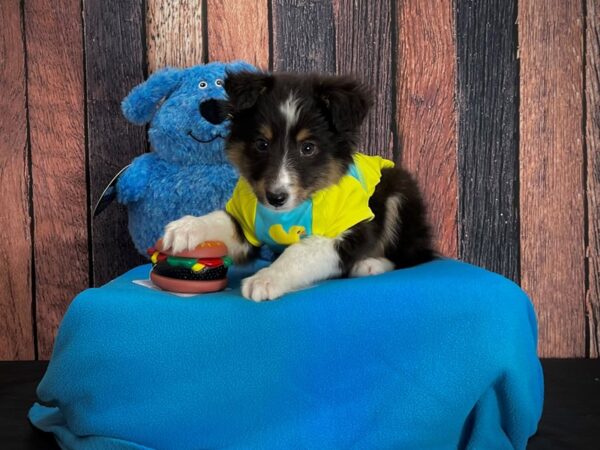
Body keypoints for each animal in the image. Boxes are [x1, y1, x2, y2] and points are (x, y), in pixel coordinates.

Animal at [162, 72, 434, 300]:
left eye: (308, 148)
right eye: (262, 144)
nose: (276, 197)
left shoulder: (341, 234)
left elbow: (297, 252)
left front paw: (266, 279)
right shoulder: (246, 225)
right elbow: (219, 219)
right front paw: (186, 228)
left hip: (400, 192)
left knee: (415, 254)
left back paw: (371, 264)